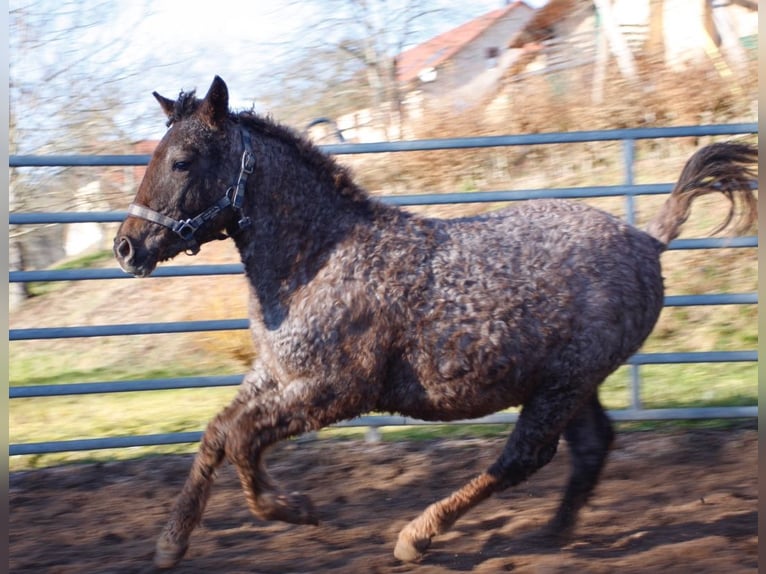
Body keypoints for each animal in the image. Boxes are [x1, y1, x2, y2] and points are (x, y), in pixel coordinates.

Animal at [112, 76, 756, 572]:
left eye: (182, 160)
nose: (126, 247)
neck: (317, 257)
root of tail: (650, 240)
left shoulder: (336, 390)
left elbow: (243, 438)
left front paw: (297, 508)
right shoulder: (276, 375)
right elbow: (218, 432)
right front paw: (170, 545)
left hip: (562, 385)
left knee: (524, 456)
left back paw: (416, 537)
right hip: (572, 384)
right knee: (590, 447)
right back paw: (550, 536)